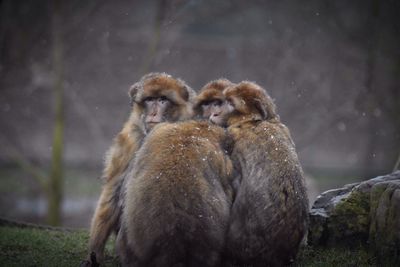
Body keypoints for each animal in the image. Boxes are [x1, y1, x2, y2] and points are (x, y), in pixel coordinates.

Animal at [84, 73, 195, 266]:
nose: (153, 113)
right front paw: (94, 253)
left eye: (163, 99)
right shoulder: (130, 139)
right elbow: (112, 192)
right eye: (150, 100)